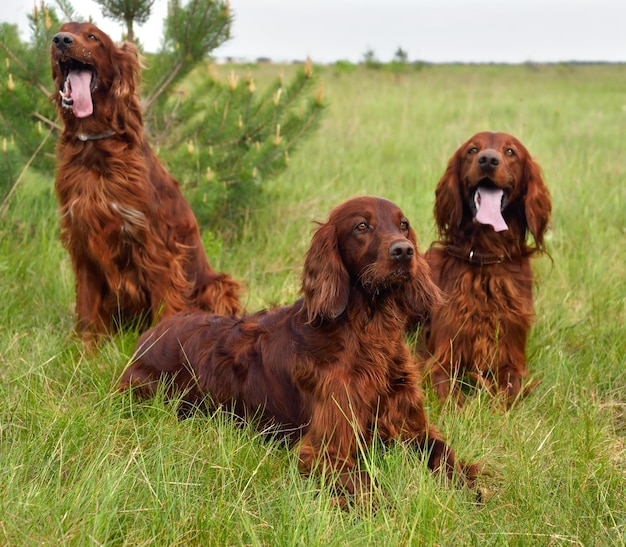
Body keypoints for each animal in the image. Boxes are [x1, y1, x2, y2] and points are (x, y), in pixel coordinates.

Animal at [50, 24, 240, 342]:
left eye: (92, 37)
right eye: (62, 30)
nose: (60, 40)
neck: (95, 151)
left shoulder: (155, 246)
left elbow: (165, 306)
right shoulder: (83, 242)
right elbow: (87, 313)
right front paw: (83, 351)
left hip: (219, 285)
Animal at [118, 198, 478, 500]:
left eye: (403, 225)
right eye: (362, 226)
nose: (404, 251)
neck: (370, 335)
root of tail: (149, 333)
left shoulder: (413, 429)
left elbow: (445, 454)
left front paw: (474, 487)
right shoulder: (323, 450)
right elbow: (367, 487)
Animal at [422, 132, 548, 406]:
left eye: (510, 151)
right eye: (472, 150)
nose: (488, 160)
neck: (486, 257)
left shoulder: (511, 357)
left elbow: (510, 387)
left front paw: (496, 406)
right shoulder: (440, 358)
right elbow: (448, 391)